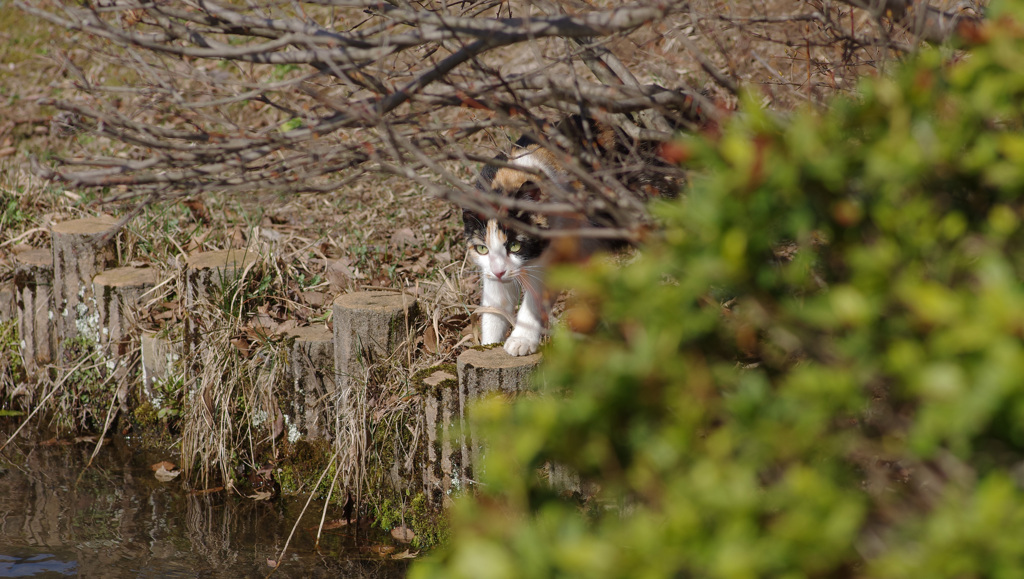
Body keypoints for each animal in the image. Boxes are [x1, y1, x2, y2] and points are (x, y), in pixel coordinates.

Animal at [464, 115, 679, 354]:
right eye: (482, 249)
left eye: (515, 246)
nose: (500, 272)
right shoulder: (490, 272)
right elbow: (494, 310)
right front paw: (488, 344)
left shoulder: (552, 257)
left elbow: (534, 302)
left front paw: (521, 339)